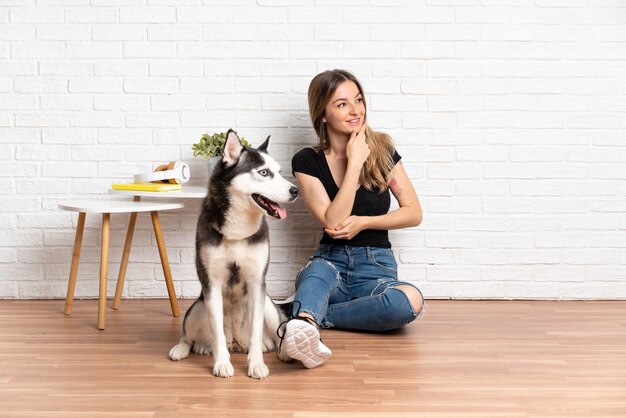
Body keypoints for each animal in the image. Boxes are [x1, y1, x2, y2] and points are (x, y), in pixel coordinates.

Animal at [167, 130, 296, 378]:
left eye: (279, 172)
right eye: (264, 173)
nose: (296, 190)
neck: (238, 231)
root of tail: (236, 343)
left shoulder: (257, 283)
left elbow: (256, 331)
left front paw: (256, 364)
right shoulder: (212, 284)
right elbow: (217, 332)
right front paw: (222, 363)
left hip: (268, 305)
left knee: (277, 332)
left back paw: (283, 350)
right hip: (197, 308)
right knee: (188, 335)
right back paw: (183, 348)